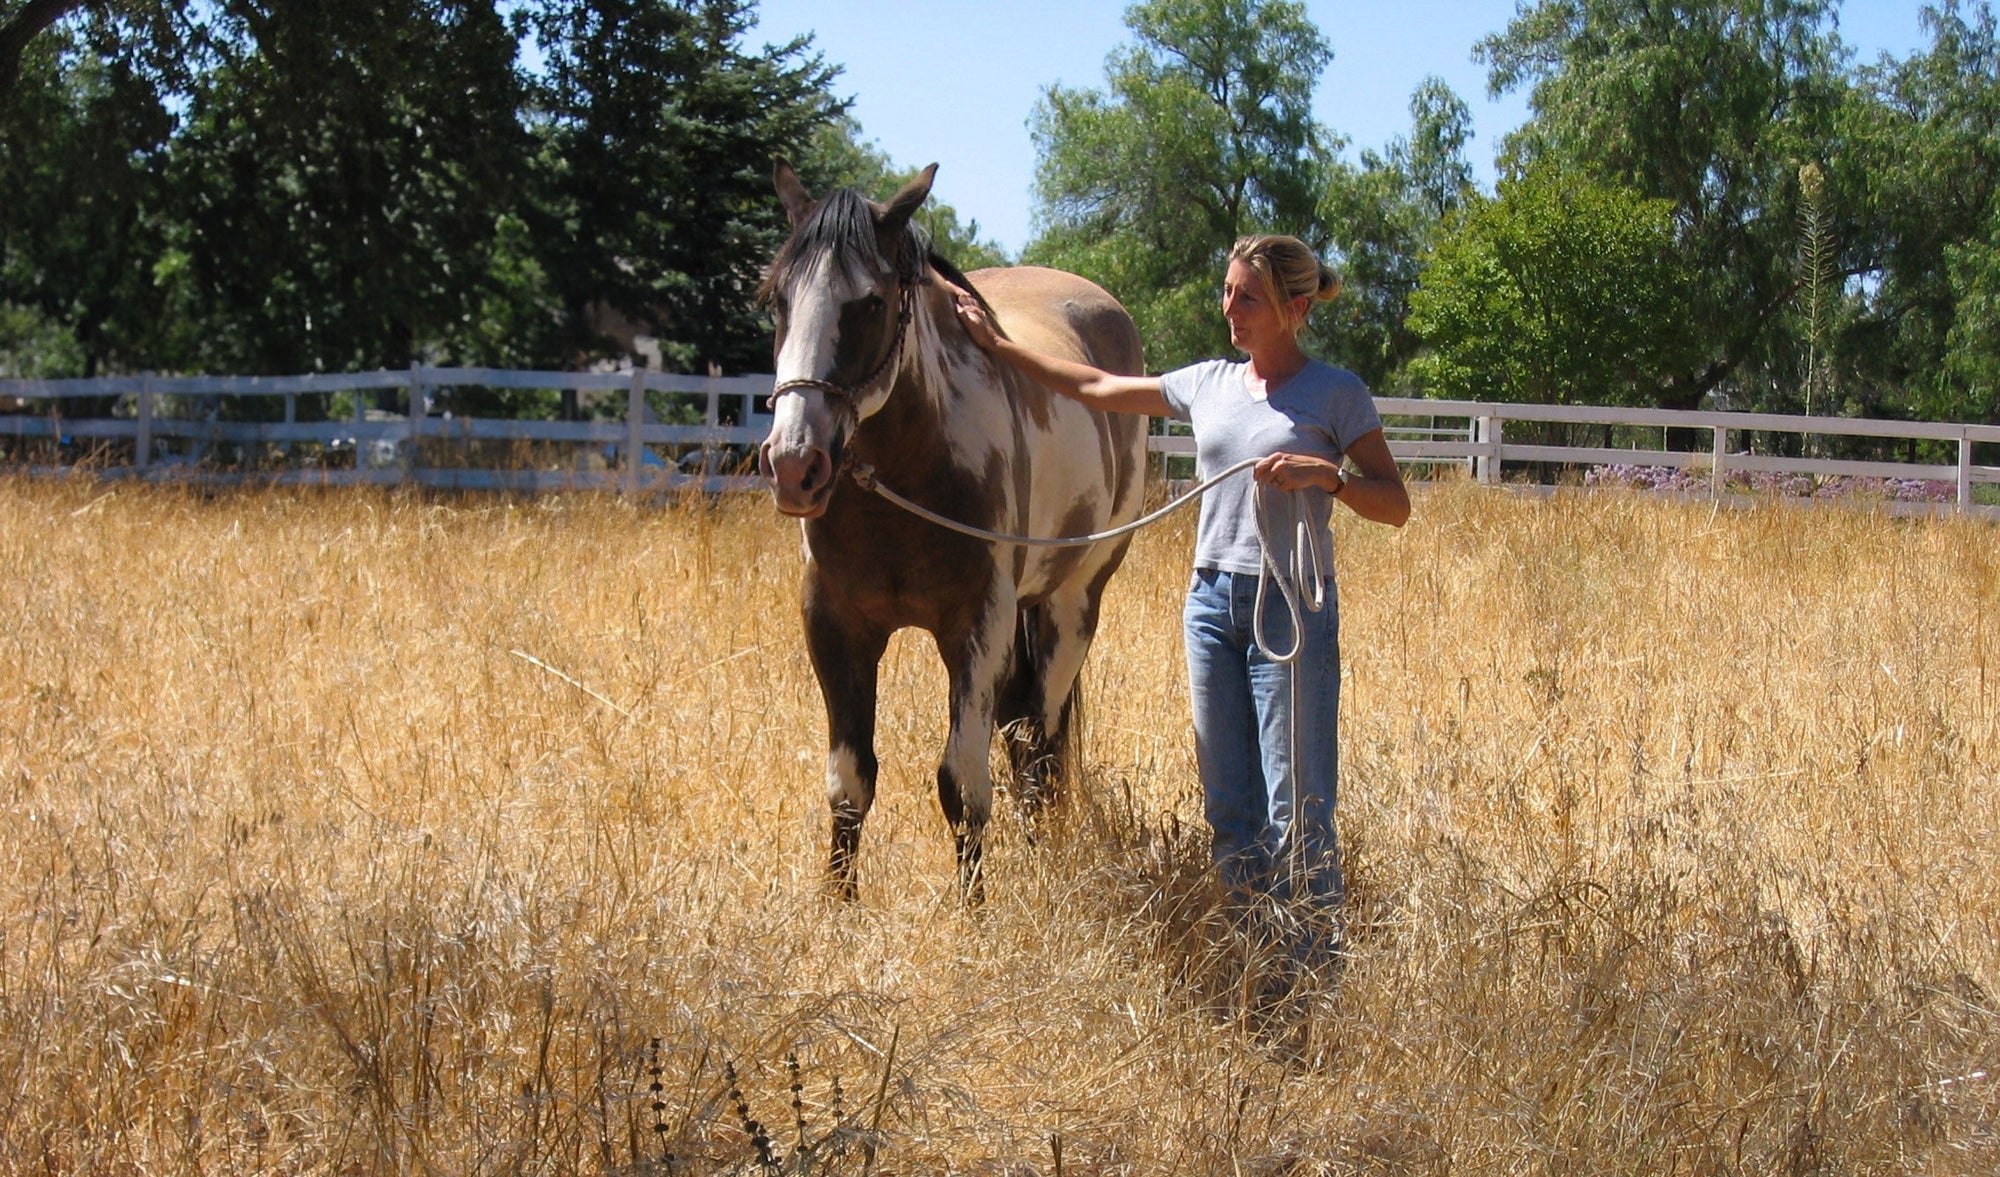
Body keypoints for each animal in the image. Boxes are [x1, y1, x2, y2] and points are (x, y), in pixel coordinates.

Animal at [757, 160, 1149, 901]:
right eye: (777, 300)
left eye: (870, 303)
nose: (794, 463)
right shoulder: (833, 624)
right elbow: (849, 781)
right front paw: (838, 905)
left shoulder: (977, 627)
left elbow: (962, 786)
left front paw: (975, 911)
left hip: (1072, 604)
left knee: (1037, 743)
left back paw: (1040, 862)